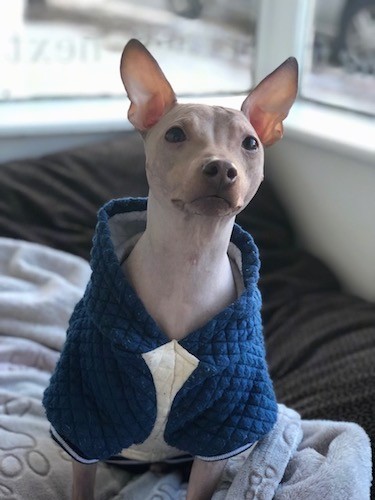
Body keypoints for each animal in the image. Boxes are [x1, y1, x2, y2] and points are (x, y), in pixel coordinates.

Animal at [42, 39, 298, 500]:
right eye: (175, 134)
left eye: (250, 143)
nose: (221, 167)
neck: (188, 258)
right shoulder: (85, 414)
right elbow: (81, 480)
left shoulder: (220, 430)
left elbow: (202, 485)